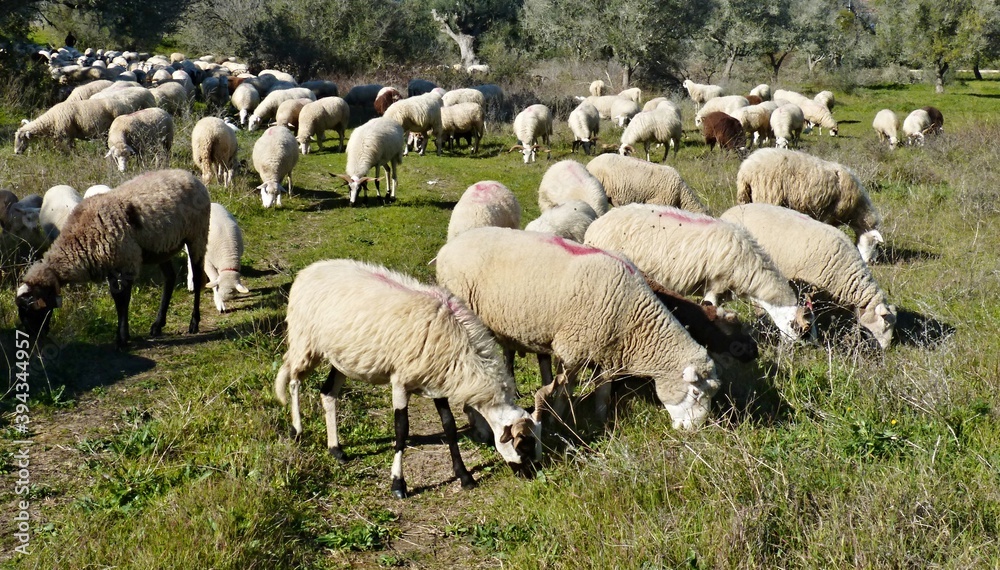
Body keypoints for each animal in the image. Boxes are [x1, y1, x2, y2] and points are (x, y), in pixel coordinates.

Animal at [16, 169, 210, 349]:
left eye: (29, 310)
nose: (34, 339)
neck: (79, 238)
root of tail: (188, 175)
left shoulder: (127, 261)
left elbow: (123, 300)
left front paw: (121, 339)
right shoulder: (110, 265)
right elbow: (117, 300)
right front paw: (124, 335)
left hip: (197, 234)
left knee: (197, 276)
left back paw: (194, 323)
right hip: (162, 247)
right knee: (169, 278)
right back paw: (157, 325)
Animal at [274, 258, 540, 497]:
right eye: (523, 445)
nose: (533, 476)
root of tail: (308, 270)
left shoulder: (437, 383)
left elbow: (449, 426)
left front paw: (464, 476)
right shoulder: (400, 382)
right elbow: (401, 429)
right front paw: (398, 485)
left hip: (342, 357)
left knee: (328, 393)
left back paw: (336, 449)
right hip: (305, 342)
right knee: (293, 379)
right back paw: (297, 430)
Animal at [435, 227, 721, 430]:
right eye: (696, 392)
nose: (695, 430)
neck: (635, 319)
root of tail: (449, 247)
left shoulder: (608, 352)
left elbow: (604, 391)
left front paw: (601, 417)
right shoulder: (572, 349)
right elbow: (565, 389)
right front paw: (559, 419)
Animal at [736, 148, 883, 263]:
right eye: (876, 245)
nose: (873, 261)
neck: (856, 210)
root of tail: (745, 169)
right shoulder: (829, 216)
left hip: (746, 198)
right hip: (767, 196)